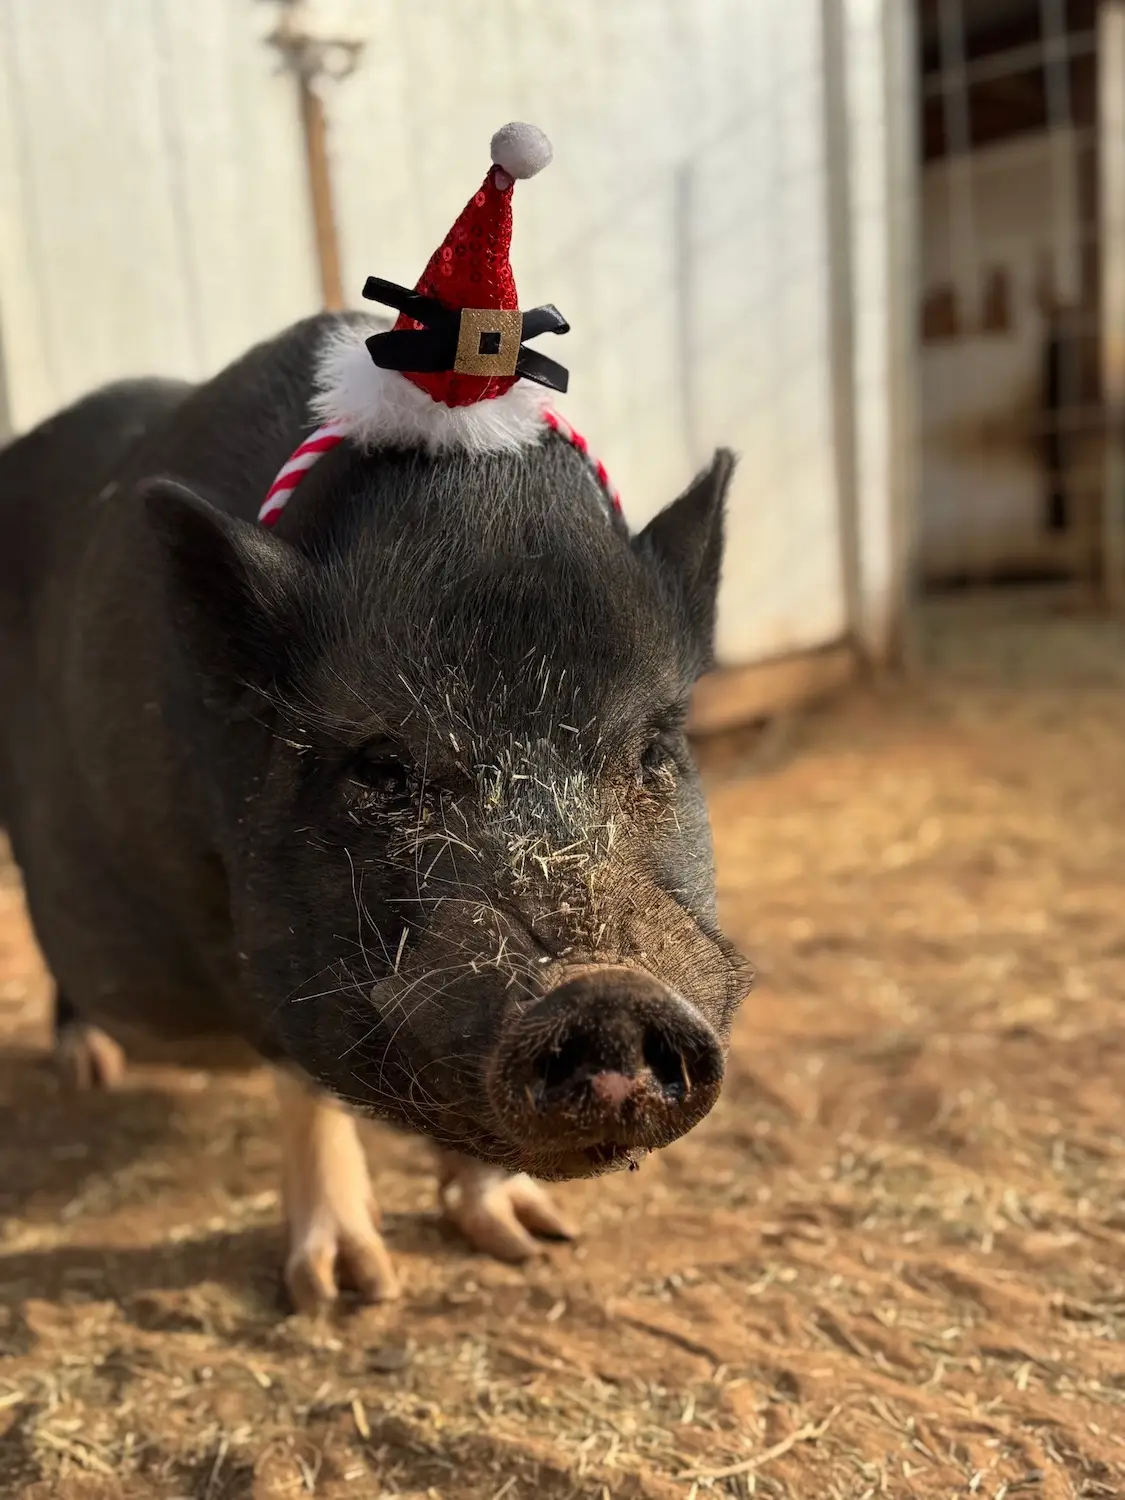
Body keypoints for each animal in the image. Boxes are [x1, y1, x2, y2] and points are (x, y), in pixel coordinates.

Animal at [0, 312, 752, 1310]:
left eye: (651, 753)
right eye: (383, 768)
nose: (606, 993)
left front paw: (534, 1239)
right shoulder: (231, 918)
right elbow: (303, 1076)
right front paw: (347, 1291)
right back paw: (88, 1072)